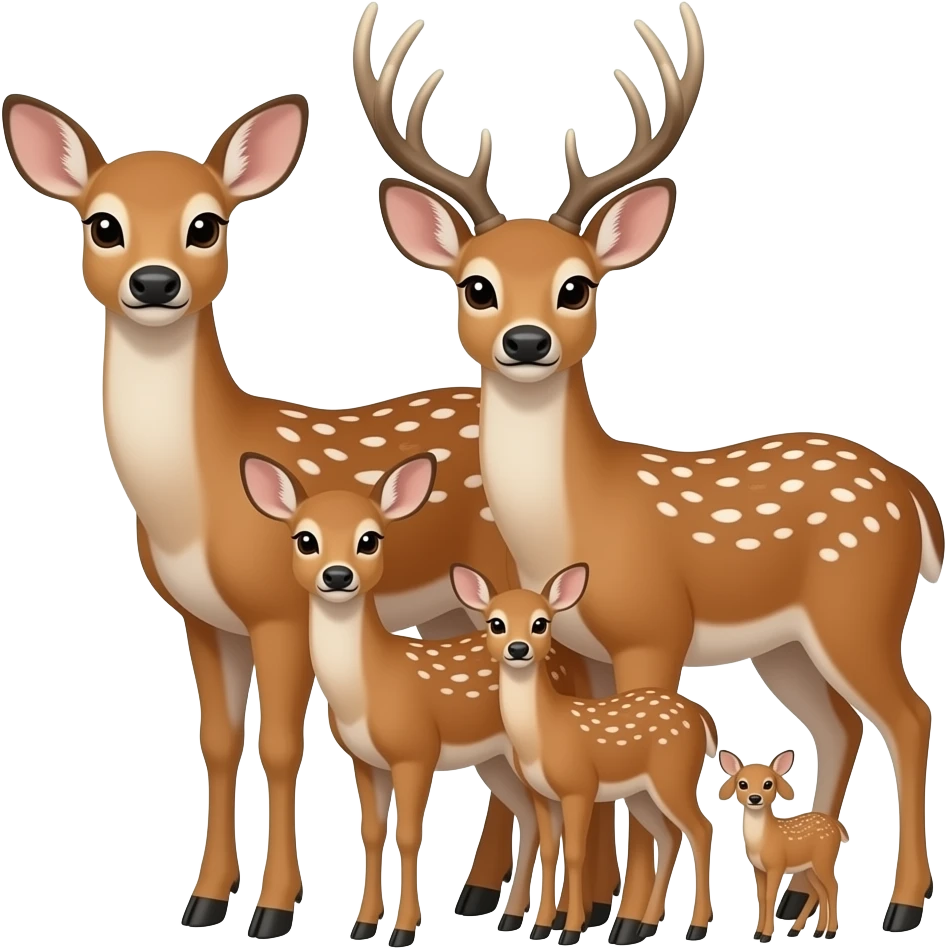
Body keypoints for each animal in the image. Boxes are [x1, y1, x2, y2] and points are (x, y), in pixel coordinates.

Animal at [238, 450, 620, 945]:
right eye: (305, 539)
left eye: (370, 538)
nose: (338, 575)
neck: (368, 687)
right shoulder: (364, 759)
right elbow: (372, 832)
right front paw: (363, 925)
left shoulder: (416, 750)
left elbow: (408, 834)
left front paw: (404, 928)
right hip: (498, 758)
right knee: (533, 818)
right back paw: (515, 917)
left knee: (554, 818)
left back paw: (558, 919)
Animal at [452, 562, 717, 946]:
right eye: (495, 622)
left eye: (540, 622)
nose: (518, 648)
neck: (543, 734)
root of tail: (701, 717)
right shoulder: (544, 794)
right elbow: (551, 851)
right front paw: (541, 926)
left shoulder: (579, 786)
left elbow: (575, 853)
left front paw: (570, 929)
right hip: (641, 792)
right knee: (670, 835)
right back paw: (645, 926)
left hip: (675, 775)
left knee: (701, 829)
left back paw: (695, 927)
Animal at [719, 749, 850, 943]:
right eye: (742, 783)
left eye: (768, 783)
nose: (755, 798)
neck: (762, 840)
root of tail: (837, 826)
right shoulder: (758, 868)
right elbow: (761, 897)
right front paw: (757, 933)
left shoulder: (776, 865)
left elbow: (770, 896)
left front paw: (766, 935)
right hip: (810, 868)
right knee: (819, 891)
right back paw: (812, 931)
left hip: (824, 859)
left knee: (833, 887)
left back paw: (830, 932)